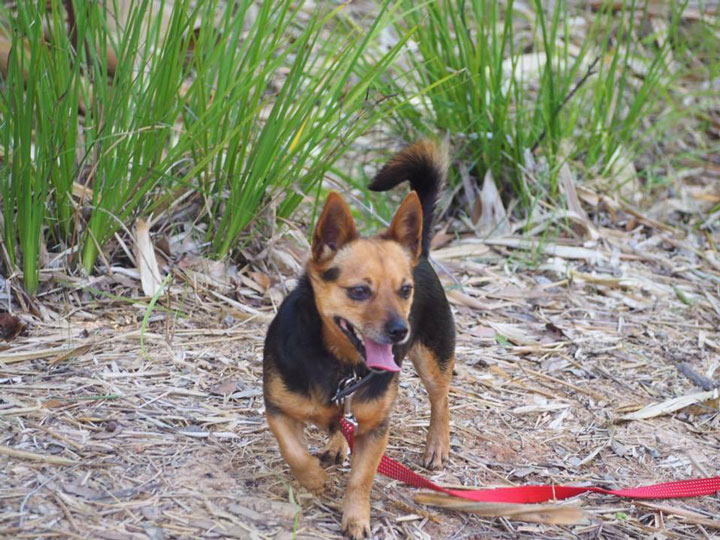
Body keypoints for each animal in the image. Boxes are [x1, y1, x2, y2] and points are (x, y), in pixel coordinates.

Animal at [264, 141, 456, 536]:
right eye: (359, 292)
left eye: (405, 290)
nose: (400, 330)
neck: (340, 365)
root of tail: (421, 254)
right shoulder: (277, 409)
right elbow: (294, 451)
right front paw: (314, 479)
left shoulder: (375, 428)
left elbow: (361, 478)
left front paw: (356, 518)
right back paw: (337, 444)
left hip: (434, 358)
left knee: (440, 399)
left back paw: (437, 445)